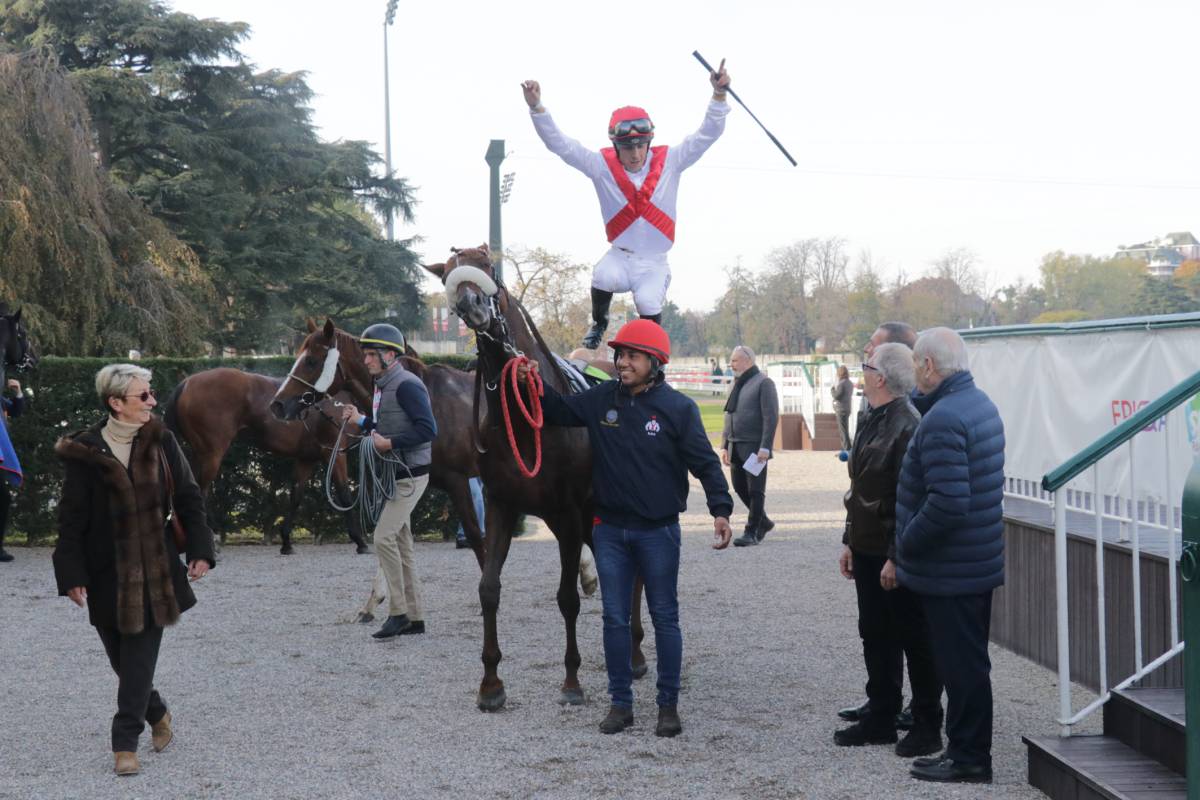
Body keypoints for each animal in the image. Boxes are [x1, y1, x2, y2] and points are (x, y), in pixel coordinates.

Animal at [164, 369, 367, 556]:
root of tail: (186, 383)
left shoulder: (305, 458)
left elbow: (296, 496)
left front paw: (286, 542)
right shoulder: (335, 453)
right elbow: (344, 493)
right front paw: (360, 541)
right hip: (210, 453)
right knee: (200, 491)